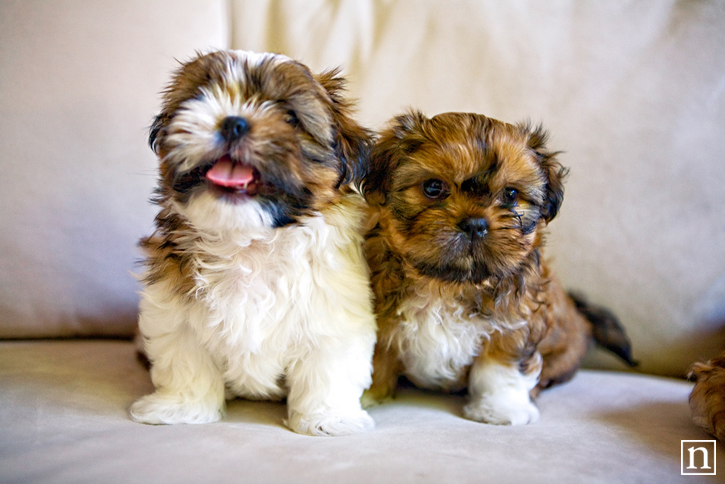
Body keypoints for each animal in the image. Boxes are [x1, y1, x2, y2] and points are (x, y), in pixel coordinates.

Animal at [130, 51, 376, 436]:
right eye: (201, 97)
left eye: (290, 117)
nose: (234, 123)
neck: (248, 244)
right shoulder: (174, 314)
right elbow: (186, 361)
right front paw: (181, 408)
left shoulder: (335, 313)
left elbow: (327, 369)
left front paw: (329, 418)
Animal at [362, 111, 632, 426]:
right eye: (432, 188)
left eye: (511, 194)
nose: (474, 224)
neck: (449, 284)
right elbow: (375, 358)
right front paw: (362, 397)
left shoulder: (514, 320)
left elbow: (500, 366)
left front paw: (501, 409)